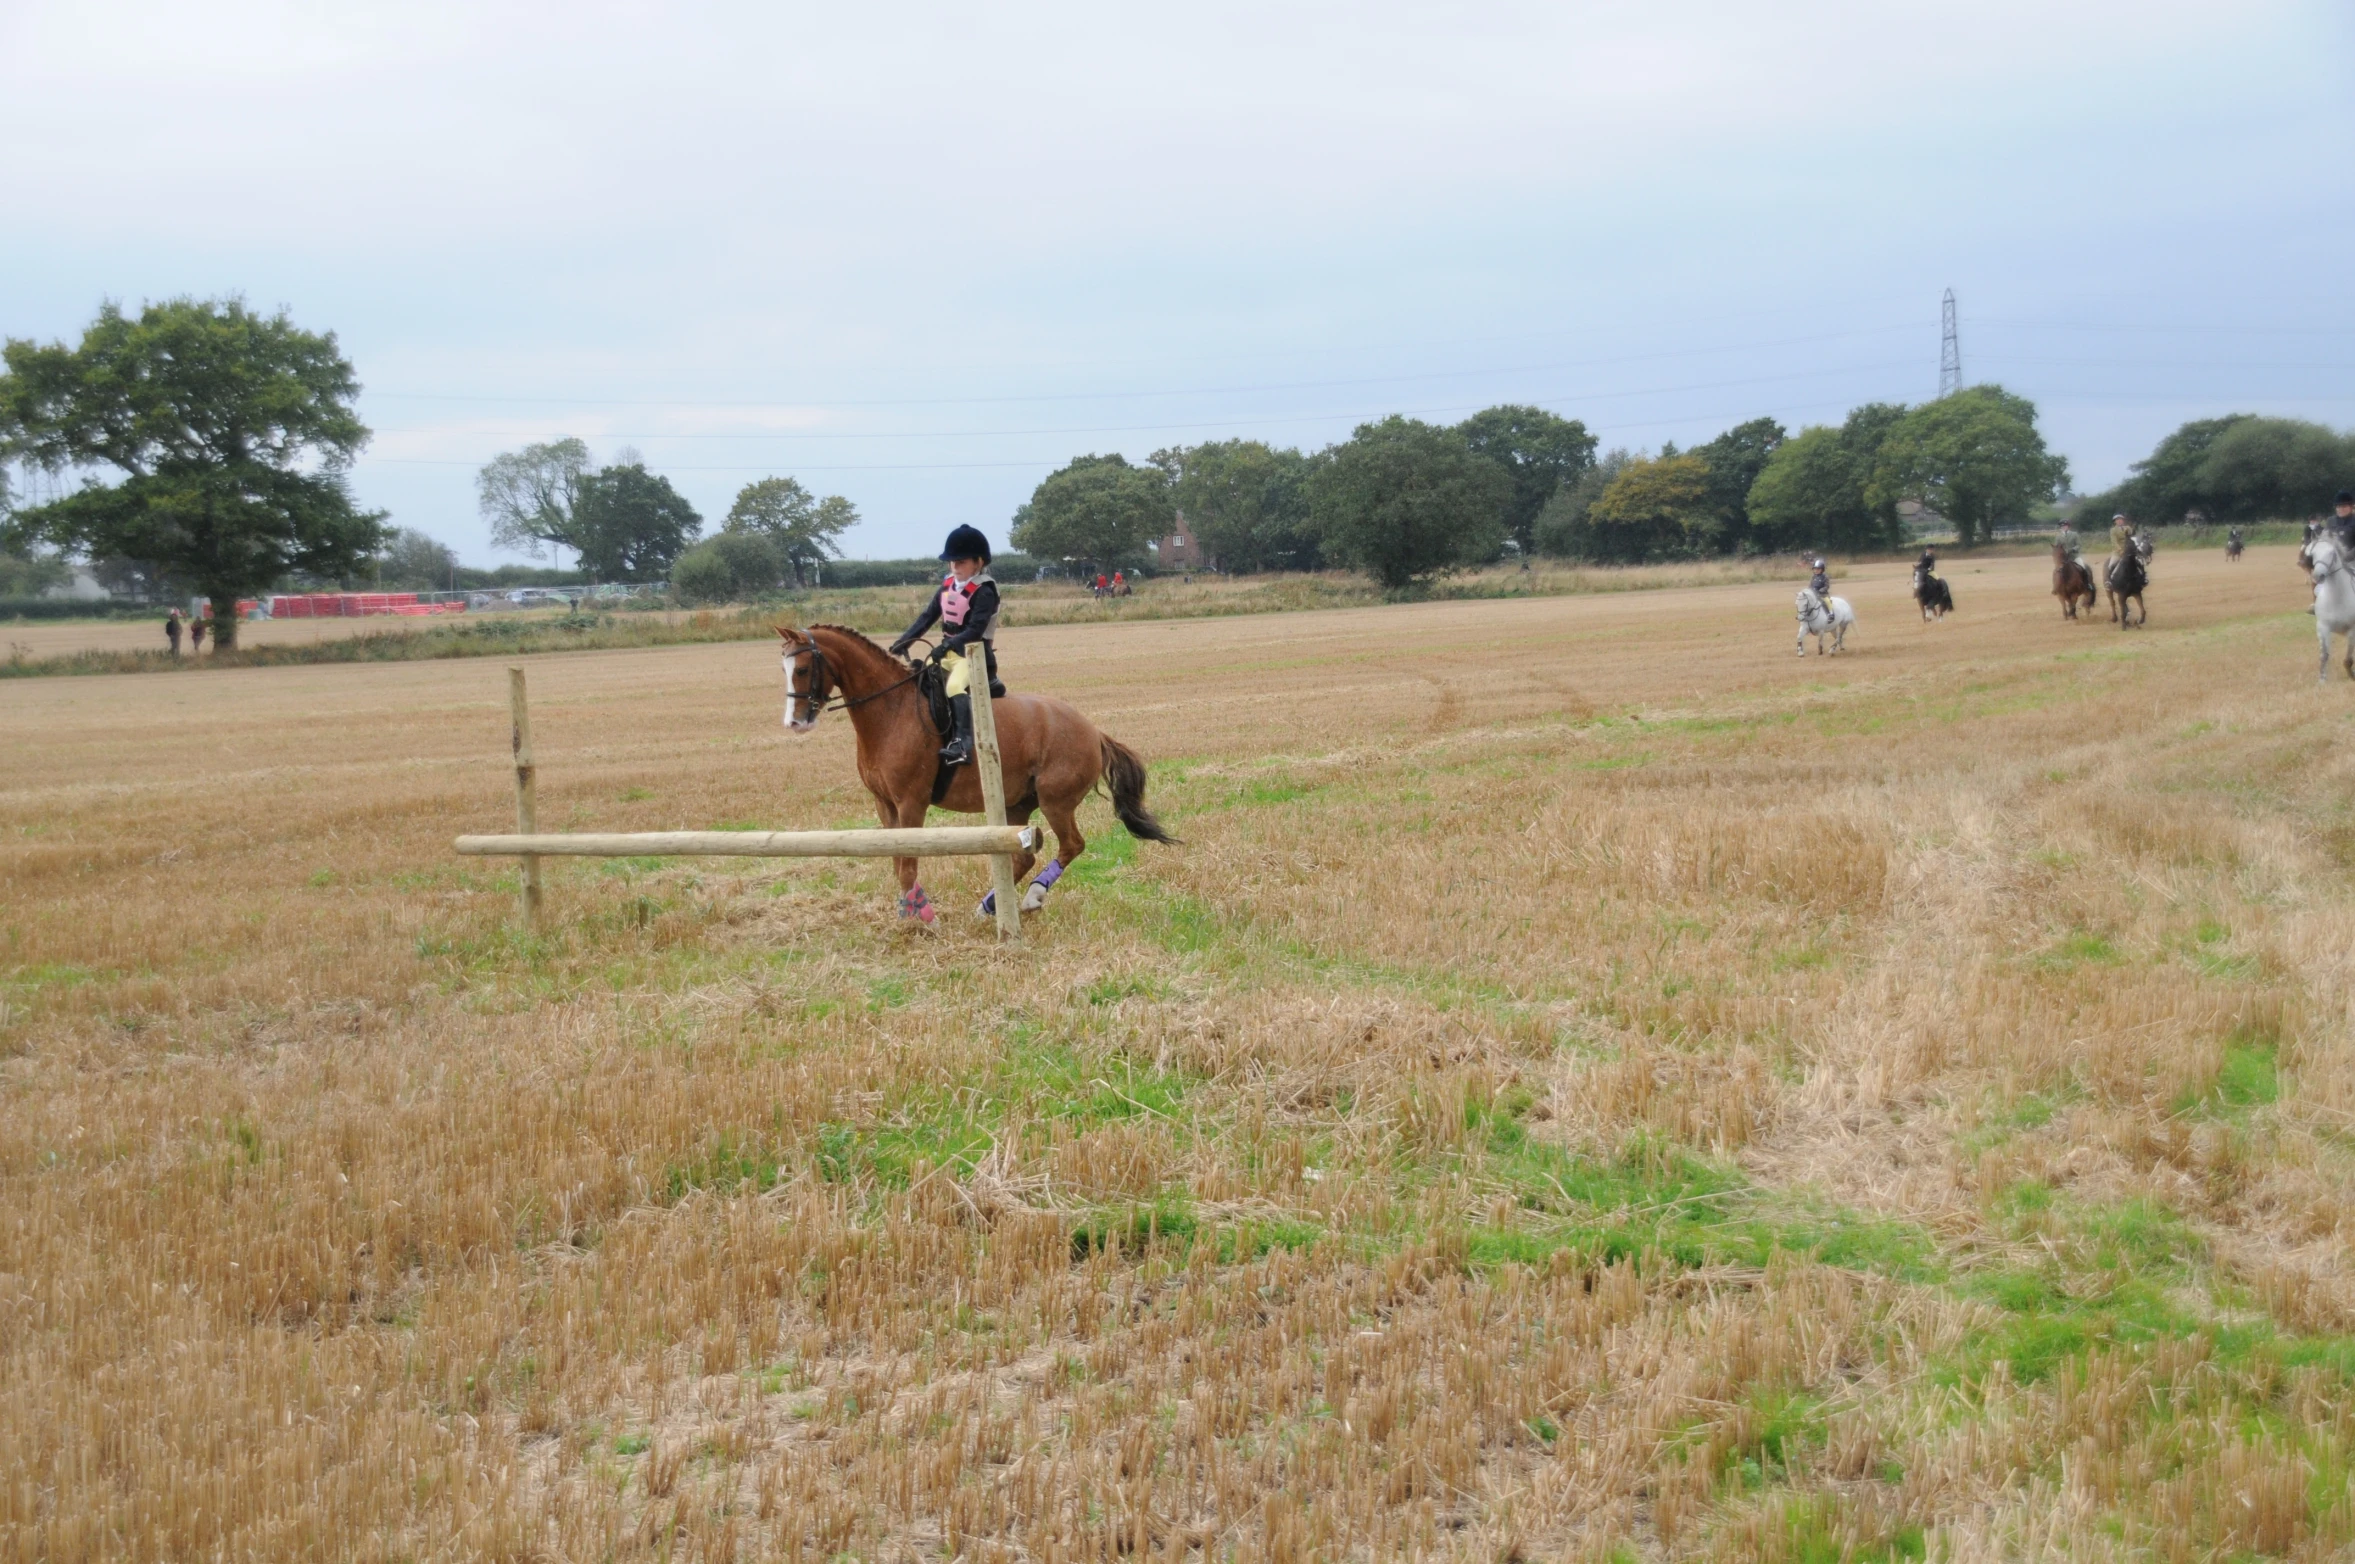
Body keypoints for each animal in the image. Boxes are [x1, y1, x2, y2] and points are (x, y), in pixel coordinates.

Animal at [777, 621, 1172, 923]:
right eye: (784, 670)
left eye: (802, 669)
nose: (794, 723)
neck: (890, 711)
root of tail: (1093, 731)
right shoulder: (884, 804)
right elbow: (896, 859)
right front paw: (909, 910)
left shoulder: (911, 802)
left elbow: (908, 862)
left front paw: (916, 918)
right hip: (1017, 804)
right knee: (1024, 855)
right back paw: (988, 907)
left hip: (1055, 801)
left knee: (1071, 845)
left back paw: (1032, 897)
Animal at [2298, 532, 2355, 678]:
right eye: (2313, 554)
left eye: (2332, 553)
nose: (2318, 575)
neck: (2337, 598)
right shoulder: (2323, 628)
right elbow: (2324, 656)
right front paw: (2322, 680)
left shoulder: (2352, 630)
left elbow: (2348, 660)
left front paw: (2351, 675)